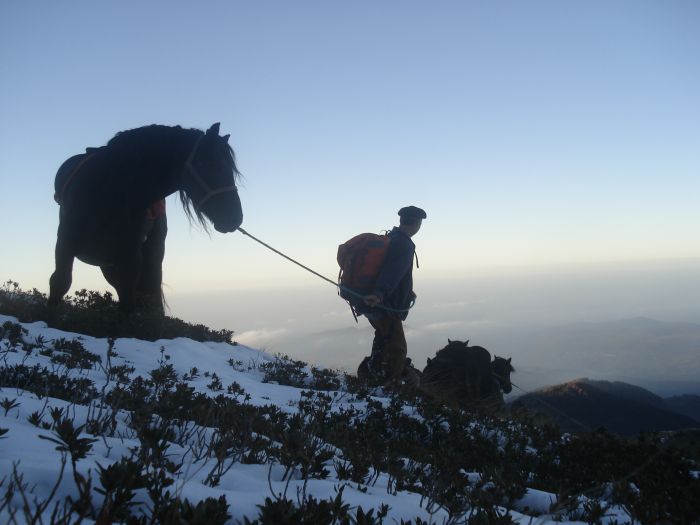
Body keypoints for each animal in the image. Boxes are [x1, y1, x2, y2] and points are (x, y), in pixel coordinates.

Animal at [47, 122, 242, 316]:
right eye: (209, 164)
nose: (235, 218)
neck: (109, 191)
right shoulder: (65, 242)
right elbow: (59, 282)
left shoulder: (130, 256)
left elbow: (128, 300)